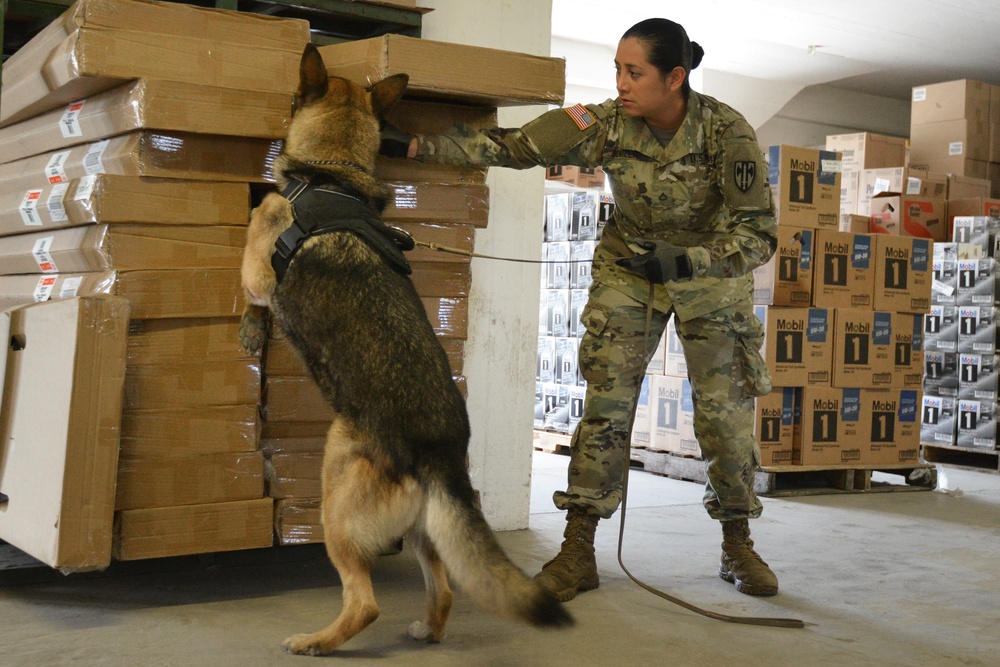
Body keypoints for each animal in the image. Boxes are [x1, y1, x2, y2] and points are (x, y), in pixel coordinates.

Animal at [238, 45, 576, 656]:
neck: (333, 176)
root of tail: (441, 453)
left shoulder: (258, 269)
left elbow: (251, 290)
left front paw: (251, 329)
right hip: (425, 530)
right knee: (442, 588)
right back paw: (427, 628)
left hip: (336, 485)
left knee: (365, 602)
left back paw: (317, 642)